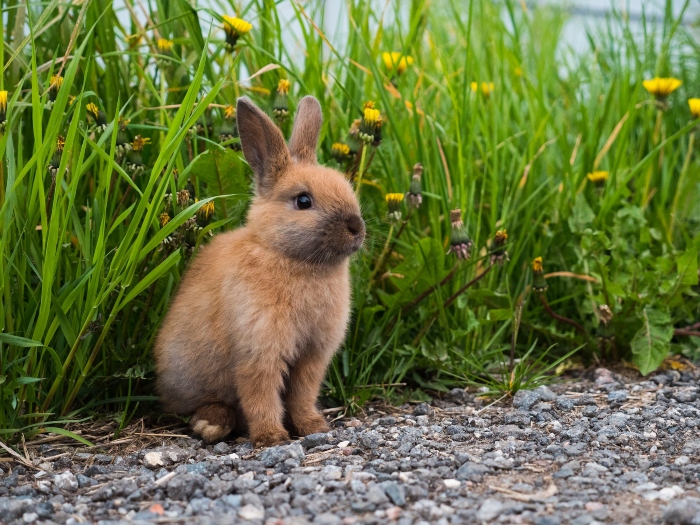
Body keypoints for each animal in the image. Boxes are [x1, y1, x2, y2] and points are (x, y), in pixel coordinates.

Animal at [154, 95, 366, 446]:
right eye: (303, 201)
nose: (357, 228)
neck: (289, 257)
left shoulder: (312, 356)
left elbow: (302, 394)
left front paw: (314, 427)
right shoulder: (258, 350)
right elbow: (261, 395)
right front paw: (271, 437)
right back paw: (211, 425)